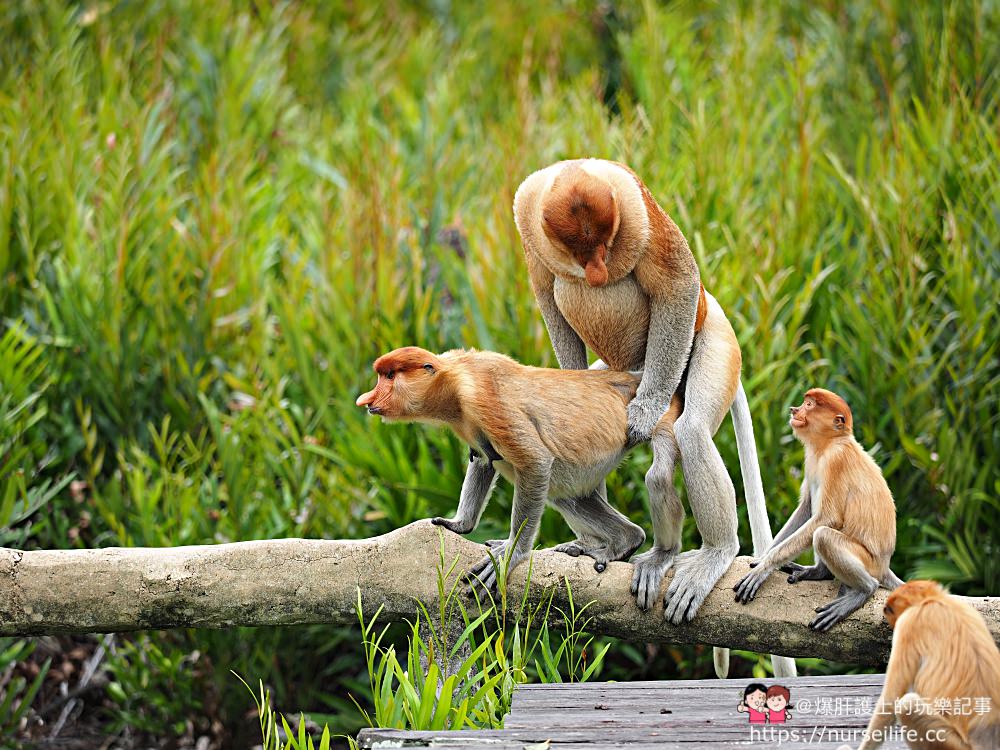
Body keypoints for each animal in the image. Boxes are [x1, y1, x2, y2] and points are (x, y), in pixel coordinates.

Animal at [356, 346, 652, 600]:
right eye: (381, 376)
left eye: (390, 376)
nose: (366, 400)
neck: (453, 379)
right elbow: (483, 460)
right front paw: (459, 524)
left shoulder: (486, 402)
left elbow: (534, 461)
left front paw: (511, 553)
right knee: (566, 496)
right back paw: (628, 538)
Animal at [512, 157, 792, 680]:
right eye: (580, 249)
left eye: (605, 244)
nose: (597, 273)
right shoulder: (526, 212)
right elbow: (546, 291)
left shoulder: (638, 210)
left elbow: (676, 283)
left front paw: (644, 413)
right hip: (614, 370)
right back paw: (594, 545)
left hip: (711, 341)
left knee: (693, 429)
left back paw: (713, 554)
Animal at [732, 390, 904, 632]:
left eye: (810, 405)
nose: (794, 410)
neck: (831, 442)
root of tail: (884, 565)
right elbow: (805, 508)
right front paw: (762, 558)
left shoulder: (835, 460)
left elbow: (828, 519)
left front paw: (763, 568)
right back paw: (818, 572)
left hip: (869, 562)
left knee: (823, 535)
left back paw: (863, 589)